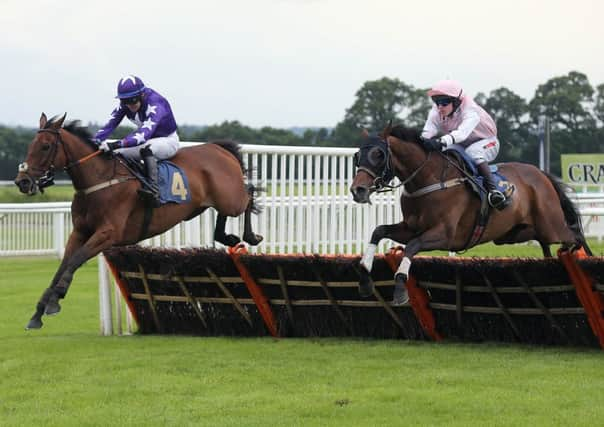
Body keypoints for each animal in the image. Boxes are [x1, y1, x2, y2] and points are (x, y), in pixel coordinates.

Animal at [14, 113, 264, 332]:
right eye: (30, 145)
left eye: (45, 146)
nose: (22, 182)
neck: (99, 180)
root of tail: (219, 148)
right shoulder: (80, 232)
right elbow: (63, 266)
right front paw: (37, 314)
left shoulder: (108, 234)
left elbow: (75, 261)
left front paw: (54, 301)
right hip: (211, 202)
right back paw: (226, 236)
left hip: (231, 199)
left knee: (249, 192)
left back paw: (252, 236)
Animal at [350, 123, 588, 304]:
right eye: (358, 155)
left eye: (378, 154)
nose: (357, 190)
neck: (428, 180)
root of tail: (541, 173)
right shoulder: (410, 227)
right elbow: (379, 231)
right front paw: (364, 278)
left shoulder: (445, 235)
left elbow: (412, 246)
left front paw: (400, 288)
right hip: (516, 234)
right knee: (547, 245)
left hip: (552, 226)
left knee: (574, 237)